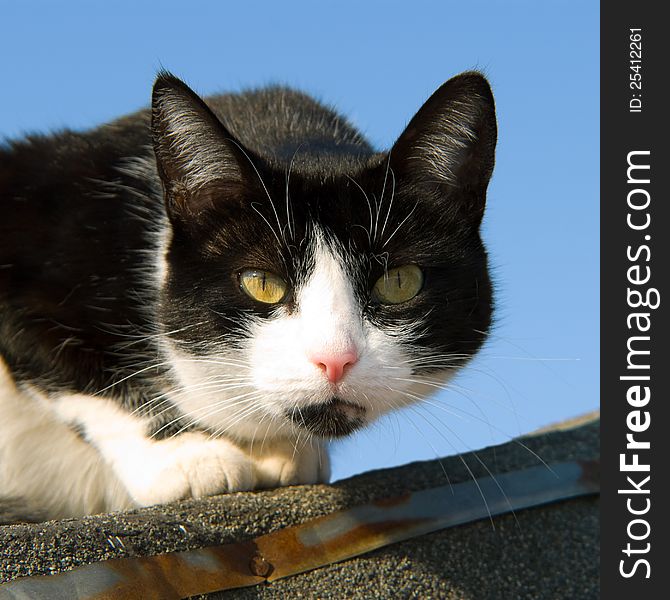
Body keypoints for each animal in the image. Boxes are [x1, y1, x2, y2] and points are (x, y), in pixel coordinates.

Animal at [1, 72, 498, 516]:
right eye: (261, 283)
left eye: (399, 282)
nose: (335, 360)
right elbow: (78, 366)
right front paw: (187, 455)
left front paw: (279, 449)